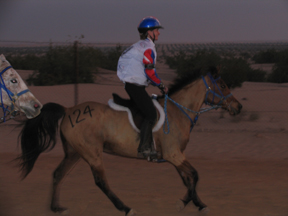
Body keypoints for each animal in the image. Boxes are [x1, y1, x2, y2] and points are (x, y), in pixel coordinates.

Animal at [16, 66, 242, 215]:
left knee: (58, 174)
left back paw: (56, 207)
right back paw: (126, 208)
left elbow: (188, 179)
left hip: (74, 153)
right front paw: (191, 204)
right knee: (101, 182)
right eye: (222, 85)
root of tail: (69, 109)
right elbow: (194, 175)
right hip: (92, 154)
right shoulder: (174, 155)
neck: (178, 111)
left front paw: (193, 203)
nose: (238, 107)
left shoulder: (176, 156)